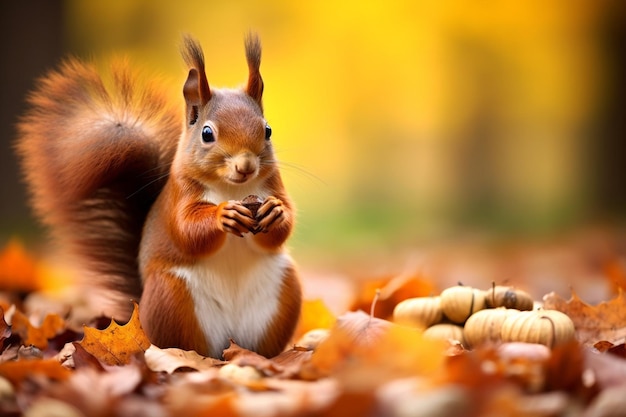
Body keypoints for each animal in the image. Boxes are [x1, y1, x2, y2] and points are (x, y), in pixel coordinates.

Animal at [15, 34, 302, 358]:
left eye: (267, 130)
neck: (233, 188)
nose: (246, 166)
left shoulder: (272, 184)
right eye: (206, 134)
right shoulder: (180, 194)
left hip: (282, 293)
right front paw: (223, 214)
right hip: (173, 298)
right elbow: (187, 229)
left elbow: (281, 227)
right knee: (187, 345)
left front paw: (275, 212)